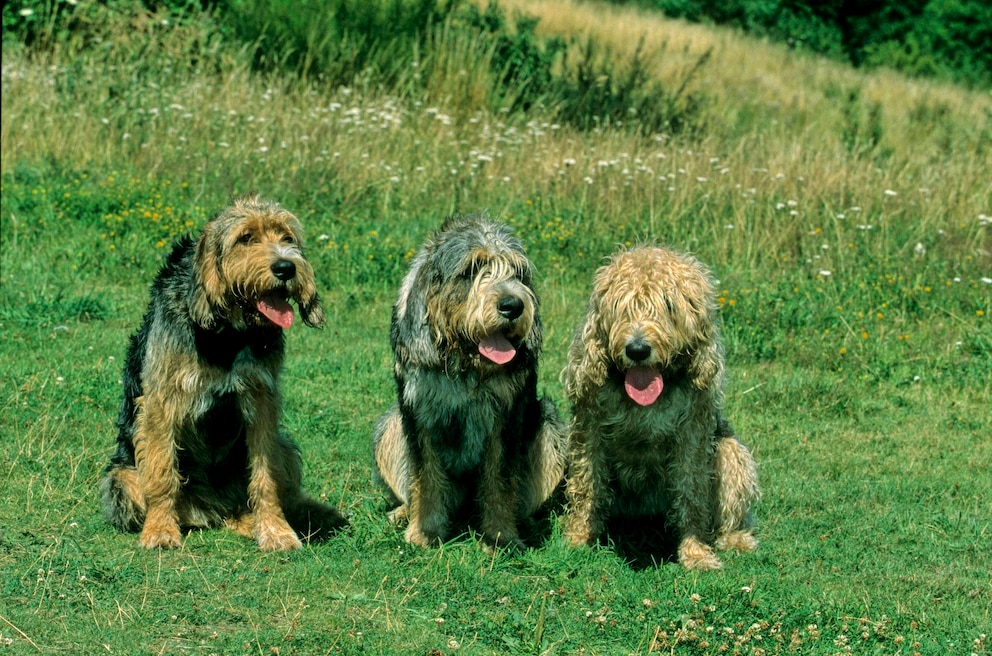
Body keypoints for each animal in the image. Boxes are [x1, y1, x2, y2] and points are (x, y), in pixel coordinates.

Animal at [560, 246, 764, 568]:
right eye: (621, 306)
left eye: (668, 305)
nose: (637, 350)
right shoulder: (588, 427)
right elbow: (587, 483)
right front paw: (578, 537)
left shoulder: (693, 433)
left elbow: (692, 492)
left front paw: (695, 552)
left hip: (731, 453)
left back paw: (735, 538)